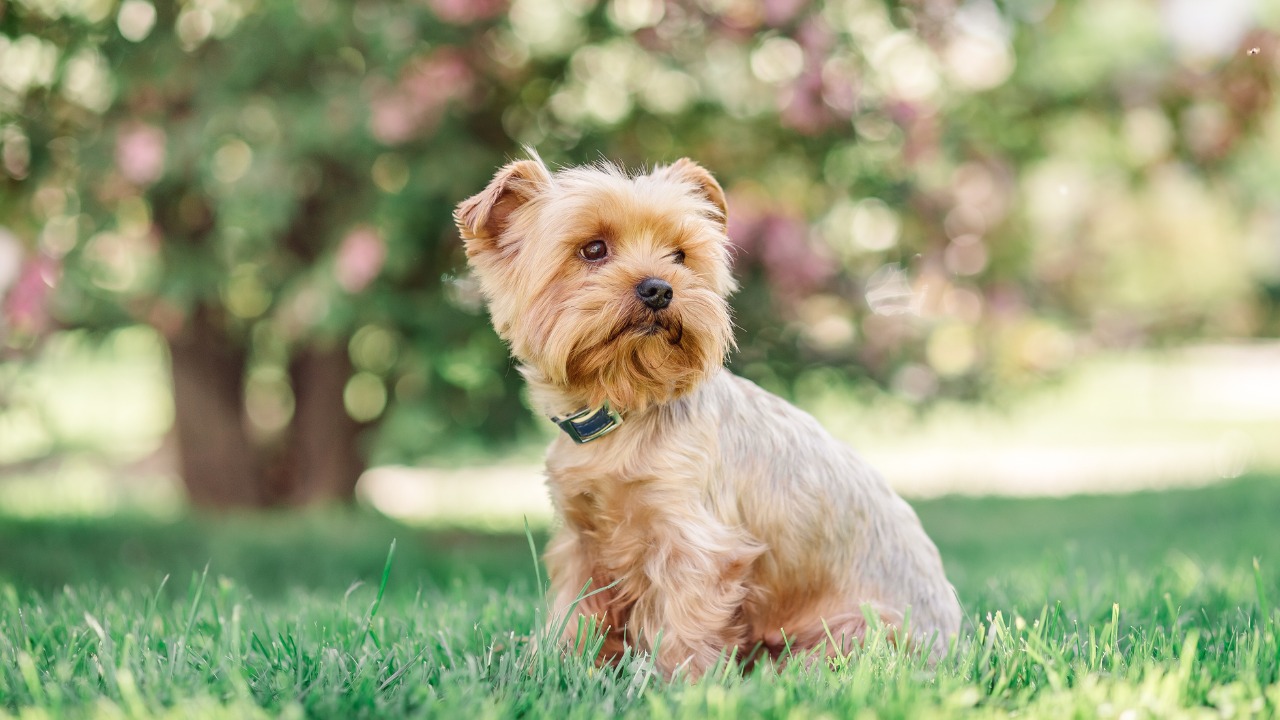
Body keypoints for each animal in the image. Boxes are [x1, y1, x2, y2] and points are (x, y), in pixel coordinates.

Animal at [455, 154, 957, 676]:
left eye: (679, 255)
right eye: (593, 249)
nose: (659, 288)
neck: (624, 406)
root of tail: (949, 642)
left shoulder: (694, 542)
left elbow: (684, 624)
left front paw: (680, 681)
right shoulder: (582, 541)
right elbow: (573, 611)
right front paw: (553, 664)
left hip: (855, 628)